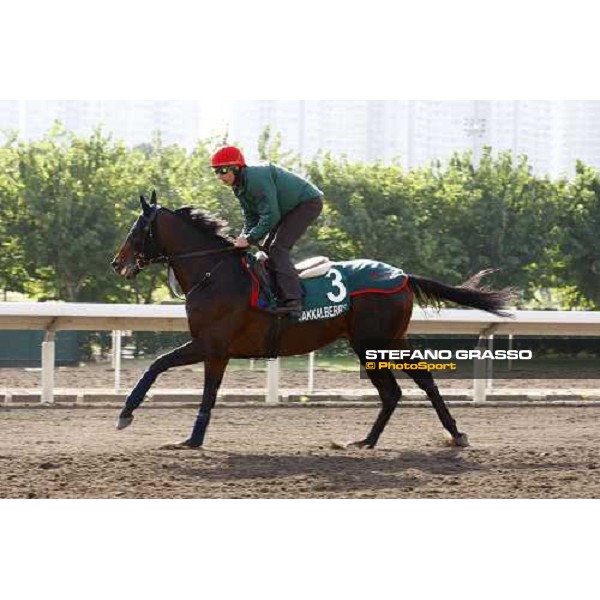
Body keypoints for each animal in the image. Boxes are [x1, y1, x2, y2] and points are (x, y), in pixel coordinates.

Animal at [111, 192, 510, 450]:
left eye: (136, 231)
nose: (116, 263)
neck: (215, 273)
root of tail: (402, 275)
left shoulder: (212, 346)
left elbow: (159, 367)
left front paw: (132, 416)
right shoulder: (215, 351)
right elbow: (195, 385)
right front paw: (190, 439)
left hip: (373, 343)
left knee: (398, 389)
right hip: (387, 341)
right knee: (410, 385)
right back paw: (387, 439)